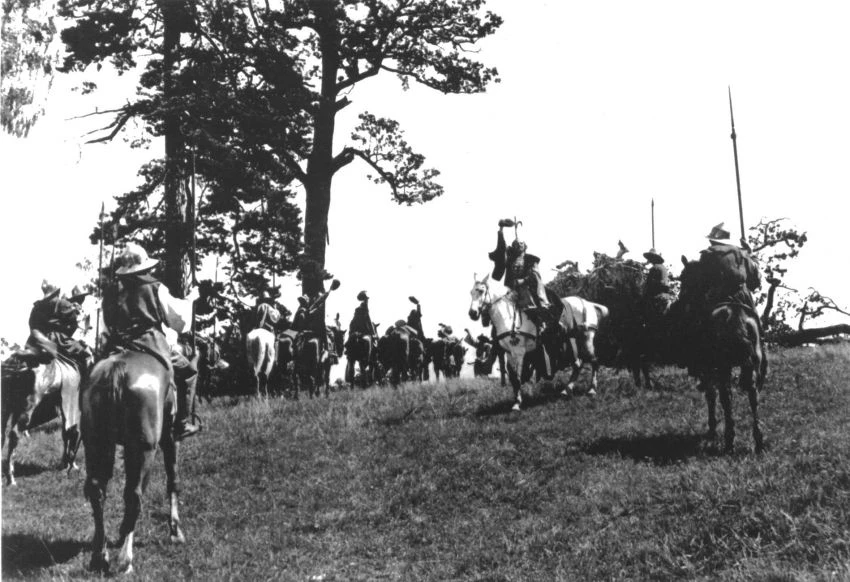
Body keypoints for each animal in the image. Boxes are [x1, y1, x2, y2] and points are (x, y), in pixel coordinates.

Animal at [1, 336, 85, 486]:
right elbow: (71, 434)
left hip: (6, 408)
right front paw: (71, 464)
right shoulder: (73, 413)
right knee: (14, 434)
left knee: (2, 436)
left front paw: (65, 463)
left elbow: (65, 434)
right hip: (26, 408)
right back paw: (11, 478)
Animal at [80, 352, 185, 576]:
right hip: (144, 449)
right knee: (134, 496)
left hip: (96, 444)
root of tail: (117, 368)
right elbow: (173, 479)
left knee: (97, 491)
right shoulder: (169, 435)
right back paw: (125, 559)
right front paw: (175, 531)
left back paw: (99, 557)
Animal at [468, 276, 540, 412]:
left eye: (481, 290)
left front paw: (522, 400)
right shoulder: (509, 353)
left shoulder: (520, 352)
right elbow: (513, 377)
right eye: (471, 292)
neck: (508, 319)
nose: (472, 313)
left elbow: (519, 375)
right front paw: (517, 401)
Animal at [676, 256, 768, 456]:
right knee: (753, 395)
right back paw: (758, 440)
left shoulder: (708, 370)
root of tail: (736, 315)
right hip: (752, 363)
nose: (681, 299)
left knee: (726, 397)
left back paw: (729, 441)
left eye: (685, 278)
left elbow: (711, 396)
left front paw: (712, 429)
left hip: (723, 366)